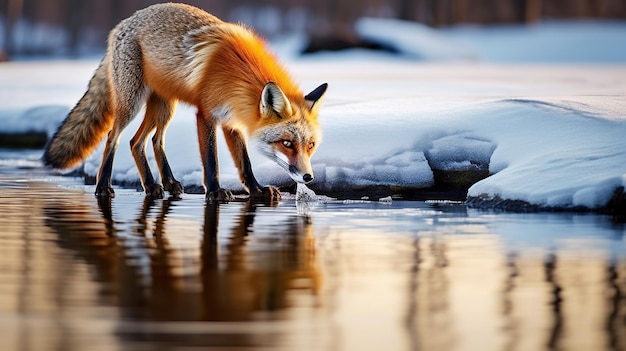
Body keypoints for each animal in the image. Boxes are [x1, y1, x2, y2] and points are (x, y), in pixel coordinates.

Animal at [43, 2, 326, 202]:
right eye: (287, 143)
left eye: (310, 145)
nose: (308, 177)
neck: (240, 74)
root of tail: (122, 24)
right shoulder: (207, 114)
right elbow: (211, 160)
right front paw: (215, 191)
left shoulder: (231, 121)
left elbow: (244, 163)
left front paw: (257, 191)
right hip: (132, 103)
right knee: (114, 137)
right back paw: (104, 187)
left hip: (165, 107)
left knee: (144, 141)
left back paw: (159, 184)